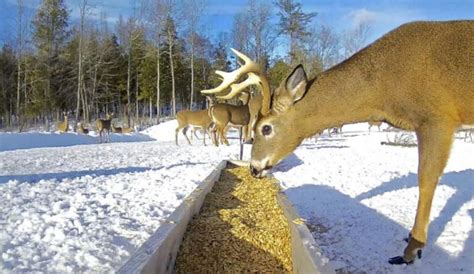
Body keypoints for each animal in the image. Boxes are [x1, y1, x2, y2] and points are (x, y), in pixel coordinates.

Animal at [201, 21, 474, 266]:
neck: (382, 89)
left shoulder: (436, 118)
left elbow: (426, 178)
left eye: (265, 128)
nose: (254, 168)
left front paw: (411, 250)